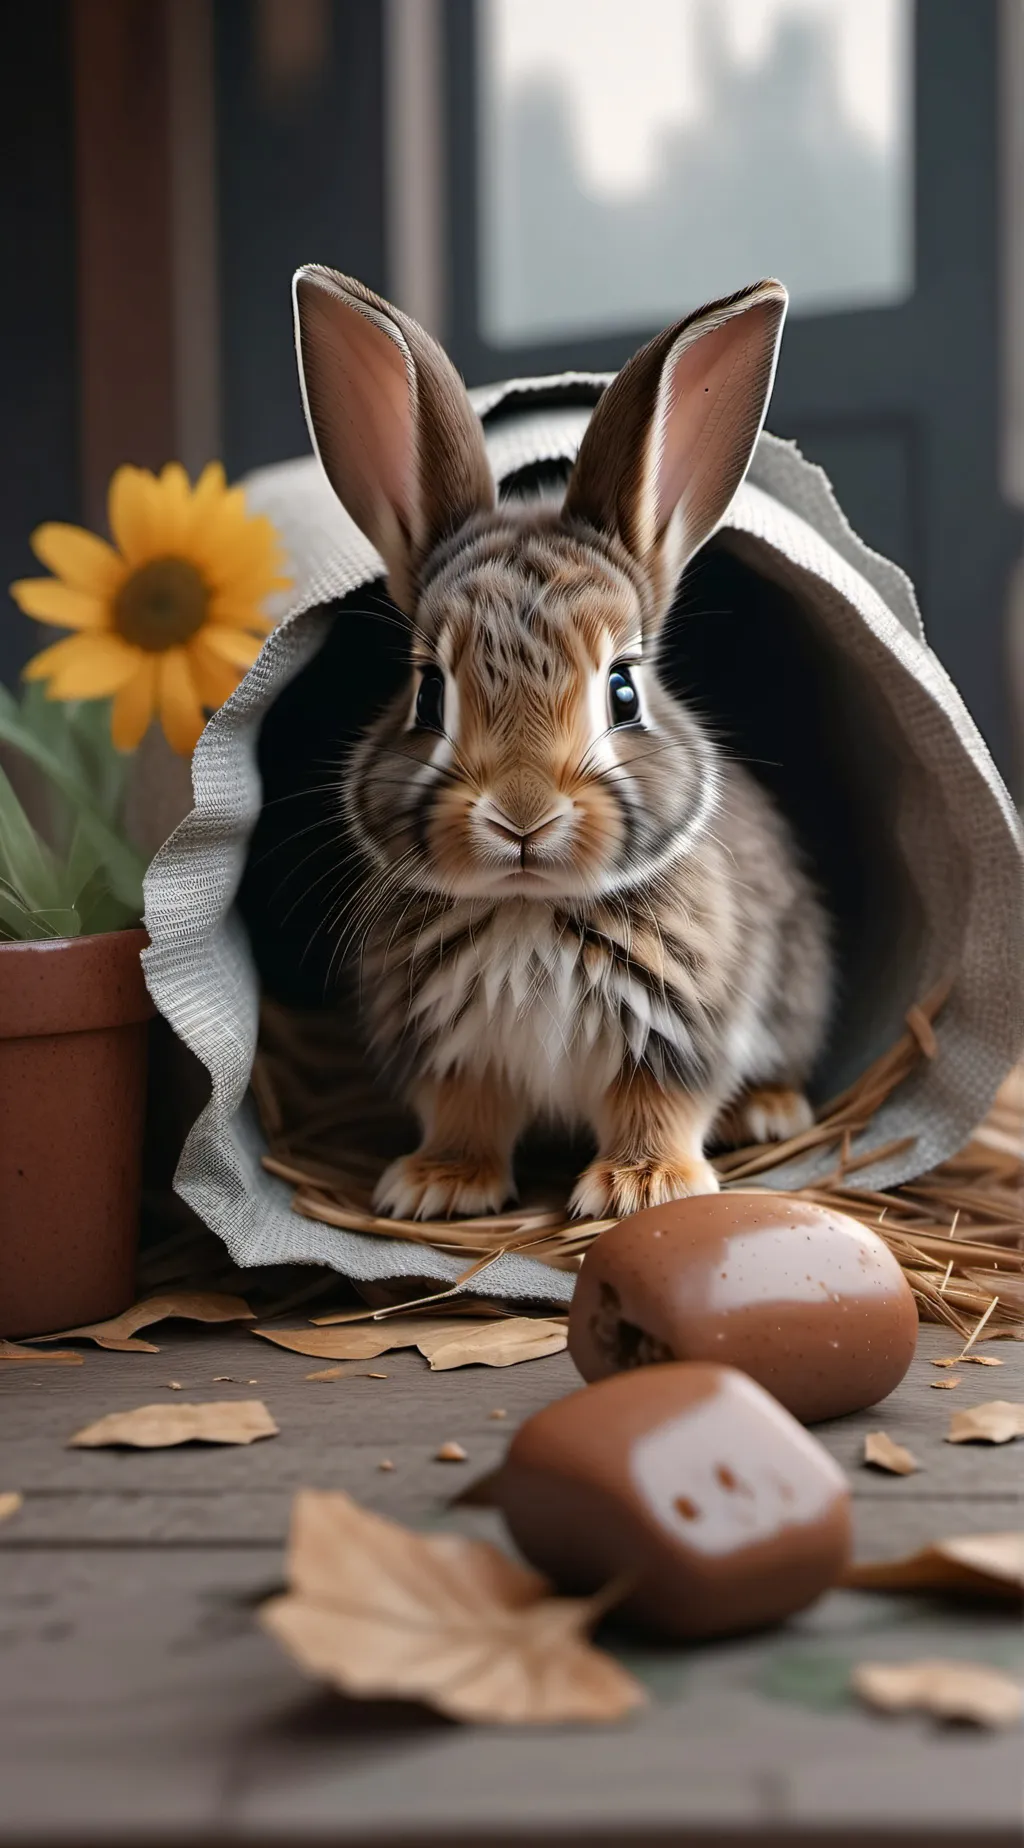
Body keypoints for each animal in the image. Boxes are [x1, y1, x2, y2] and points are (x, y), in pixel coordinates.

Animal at [292, 265, 832, 1221]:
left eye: (623, 690)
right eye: (428, 693)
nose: (522, 815)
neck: (528, 906)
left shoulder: (675, 1032)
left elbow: (657, 1107)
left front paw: (642, 1188)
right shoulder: (454, 1048)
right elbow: (467, 1113)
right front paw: (436, 1186)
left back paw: (769, 1111)